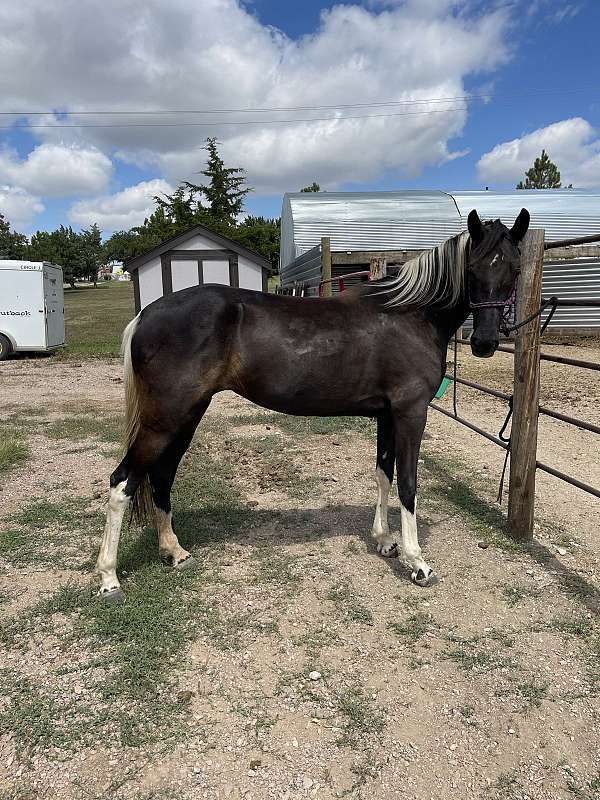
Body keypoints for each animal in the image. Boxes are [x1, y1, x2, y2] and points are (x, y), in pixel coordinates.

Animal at [96, 208, 532, 600]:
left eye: (513, 269)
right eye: (473, 268)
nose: (485, 343)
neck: (411, 314)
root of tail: (145, 315)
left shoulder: (386, 416)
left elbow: (383, 474)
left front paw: (384, 540)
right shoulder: (411, 413)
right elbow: (408, 483)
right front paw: (417, 561)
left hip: (185, 417)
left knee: (161, 476)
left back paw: (174, 551)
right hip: (165, 420)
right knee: (123, 482)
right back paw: (109, 579)